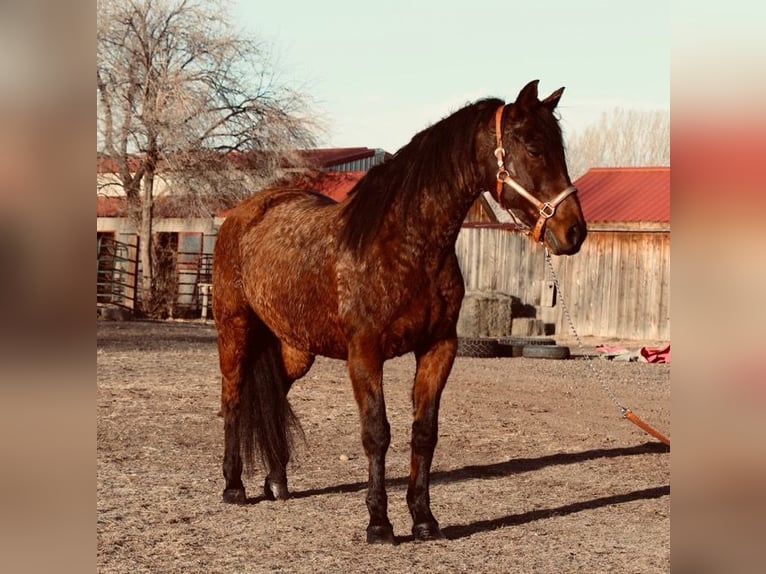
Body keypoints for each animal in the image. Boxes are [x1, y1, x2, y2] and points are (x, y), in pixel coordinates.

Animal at [212, 80, 588, 544]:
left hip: (296, 346)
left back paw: (277, 481)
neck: (406, 245)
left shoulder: (438, 348)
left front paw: (424, 519)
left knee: (276, 397)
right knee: (232, 399)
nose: (574, 231)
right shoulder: (364, 354)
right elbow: (377, 433)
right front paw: (379, 523)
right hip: (234, 330)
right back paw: (234, 486)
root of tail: (242, 214)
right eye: (534, 148)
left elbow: (424, 433)